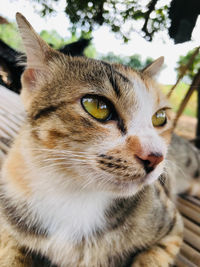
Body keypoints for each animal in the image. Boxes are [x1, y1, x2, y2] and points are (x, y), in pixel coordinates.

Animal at [0, 12, 186, 267]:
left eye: (160, 118)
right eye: (98, 106)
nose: (155, 157)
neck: (74, 196)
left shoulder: (172, 226)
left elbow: (152, 258)